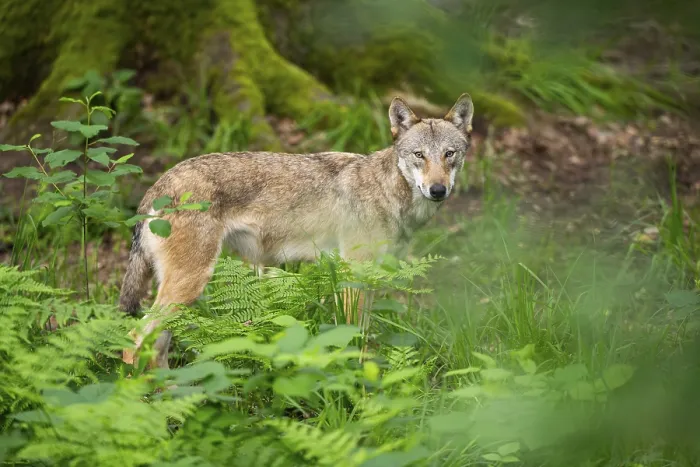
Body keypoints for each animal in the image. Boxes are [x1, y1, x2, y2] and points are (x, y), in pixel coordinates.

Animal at [119, 93, 474, 369]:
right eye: (419, 155)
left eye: (449, 154)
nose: (438, 190)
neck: (388, 191)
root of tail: (159, 184)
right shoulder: (352, 277)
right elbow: (354, 337)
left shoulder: (368, 279)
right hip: (190, 285)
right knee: (133, 339)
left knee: (156, 345)